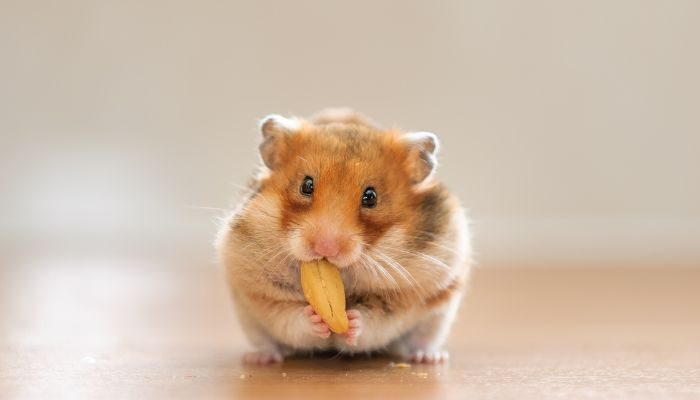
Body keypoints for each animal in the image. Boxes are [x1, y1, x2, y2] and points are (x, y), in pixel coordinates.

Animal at [216, 108, 472, 364]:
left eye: (371, 197)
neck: (344, 274)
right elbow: (289, 316)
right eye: (306, 186)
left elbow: (376, 319)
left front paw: (352, 321)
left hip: (438, 316)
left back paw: (429, 358)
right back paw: (260, 358)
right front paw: (315, 319)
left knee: (421, 340)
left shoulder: (407, 294)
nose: (325, 248)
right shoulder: (259, 290)